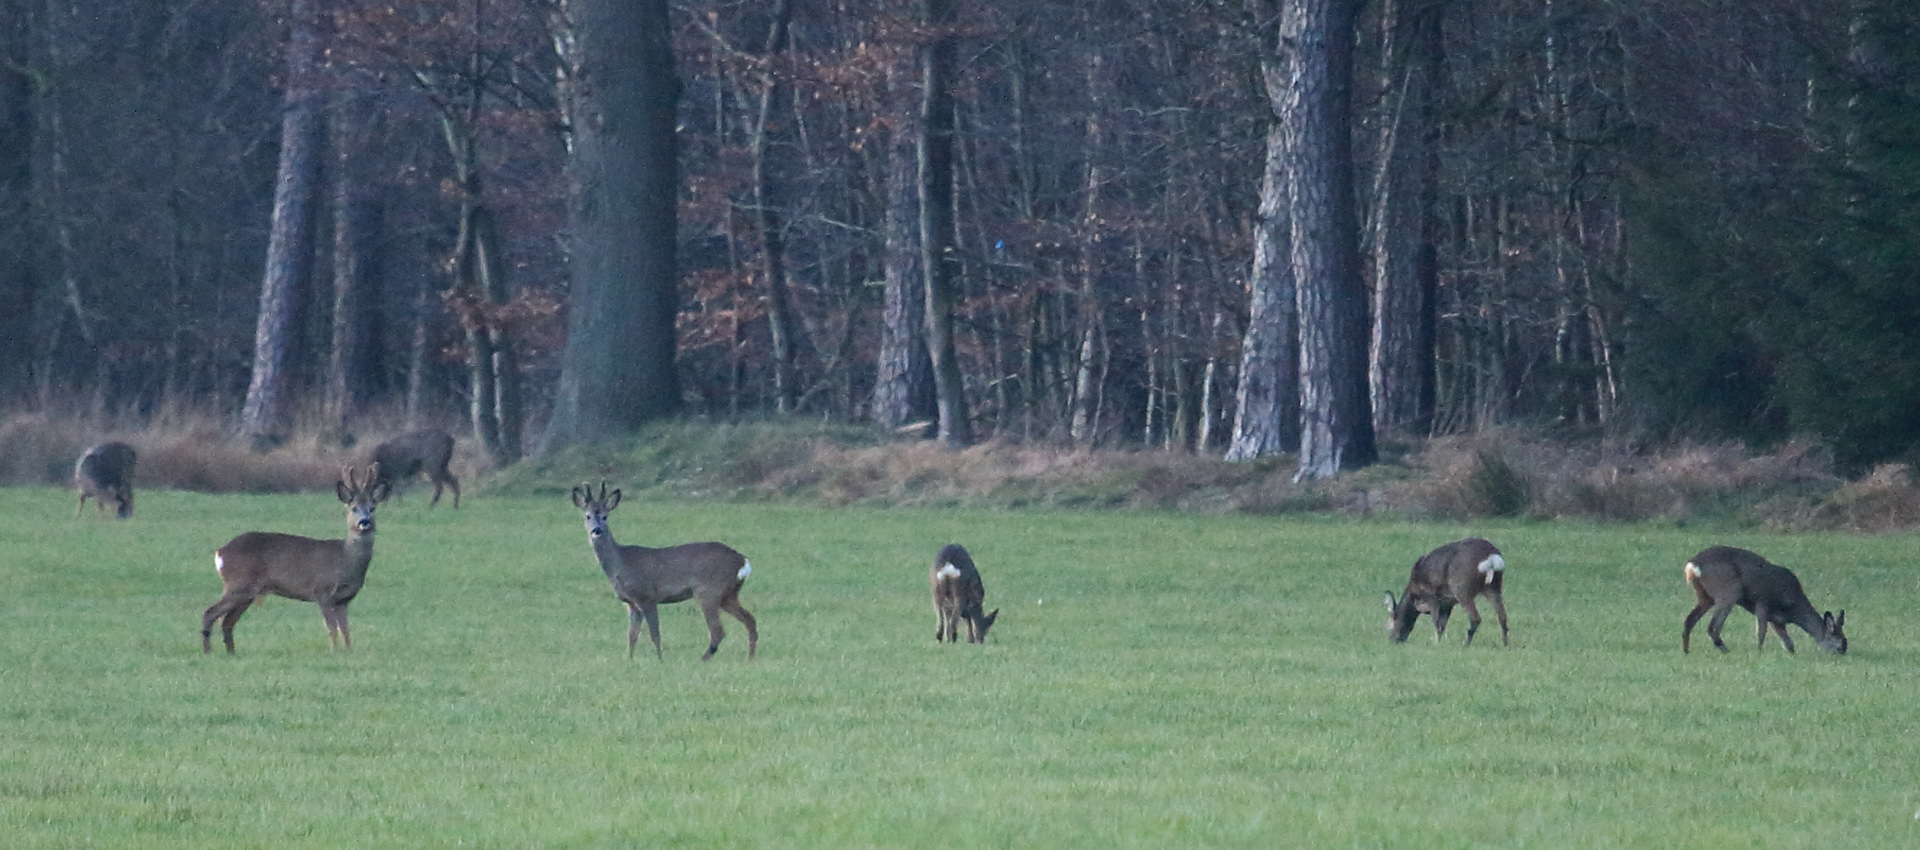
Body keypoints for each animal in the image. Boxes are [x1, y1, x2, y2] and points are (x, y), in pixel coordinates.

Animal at [200, 470, 391, 656]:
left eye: (372, 508)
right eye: (354, 508)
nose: (364, 522)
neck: (345, 559)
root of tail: (220, 552)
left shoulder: (343, 600)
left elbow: (345, 629)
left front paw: (350, 652)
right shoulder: (322, 592)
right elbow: (332, 629)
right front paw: (334, 652)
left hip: (247, 592)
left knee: (227, 621)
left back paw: (231, 652)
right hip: (238, 583)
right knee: (210, 612)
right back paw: (208, 651)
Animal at [568, 481, 756, 663]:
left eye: (605, 516)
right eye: (587, 516)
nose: (597, 530)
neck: (621, 563)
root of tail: (742, 560)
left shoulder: (647, 596)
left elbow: (654, 633)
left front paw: (660, 660)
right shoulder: (631, 603)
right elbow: (631, 636)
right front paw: (629, 659)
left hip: (708, 591)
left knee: (718, 630)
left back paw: (702, 659)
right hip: (728, 595)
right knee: (750, 619)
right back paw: (750, 657)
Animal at [1681, 544, 1843, 660]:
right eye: (1840, 645)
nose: (1842, 655)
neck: (1792, 606)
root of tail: (1692, 564)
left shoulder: (1777, 620)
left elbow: (1788, 643)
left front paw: (1792, 656)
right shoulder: (1762, 603)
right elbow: (1761, 632)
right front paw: (1759, 653)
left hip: (1704, 595)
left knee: (1689, 619)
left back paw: (1686, 651)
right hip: (1729, 591)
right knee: (1713, 626)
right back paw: (1727, 651)